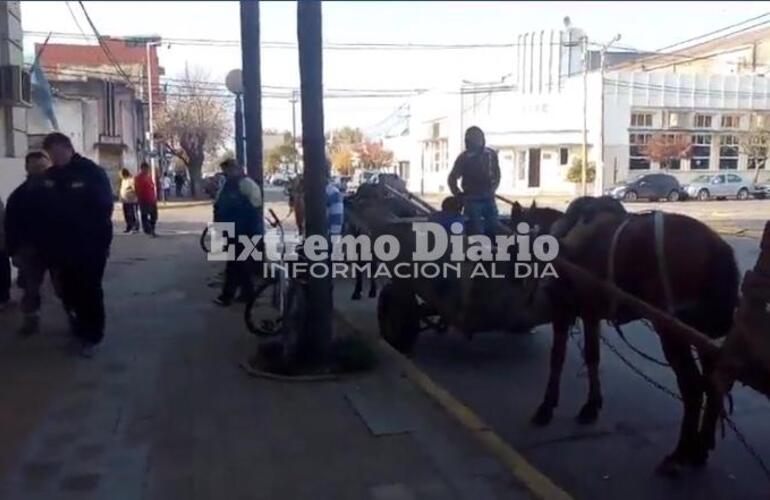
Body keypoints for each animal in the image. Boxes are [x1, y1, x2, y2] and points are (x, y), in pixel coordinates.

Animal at [510, 197, 736, 474]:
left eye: (510, 241)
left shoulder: (563, 310)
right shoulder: (590, 312)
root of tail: (717, 248)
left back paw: (679, 454)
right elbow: (592, 356)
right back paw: (700, 450)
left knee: (692, 387)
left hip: (672, 331)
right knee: (714, 381)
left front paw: (546, 408)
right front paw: (591, 406)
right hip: (700, 332)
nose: (513, 277)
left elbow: (558, 359)